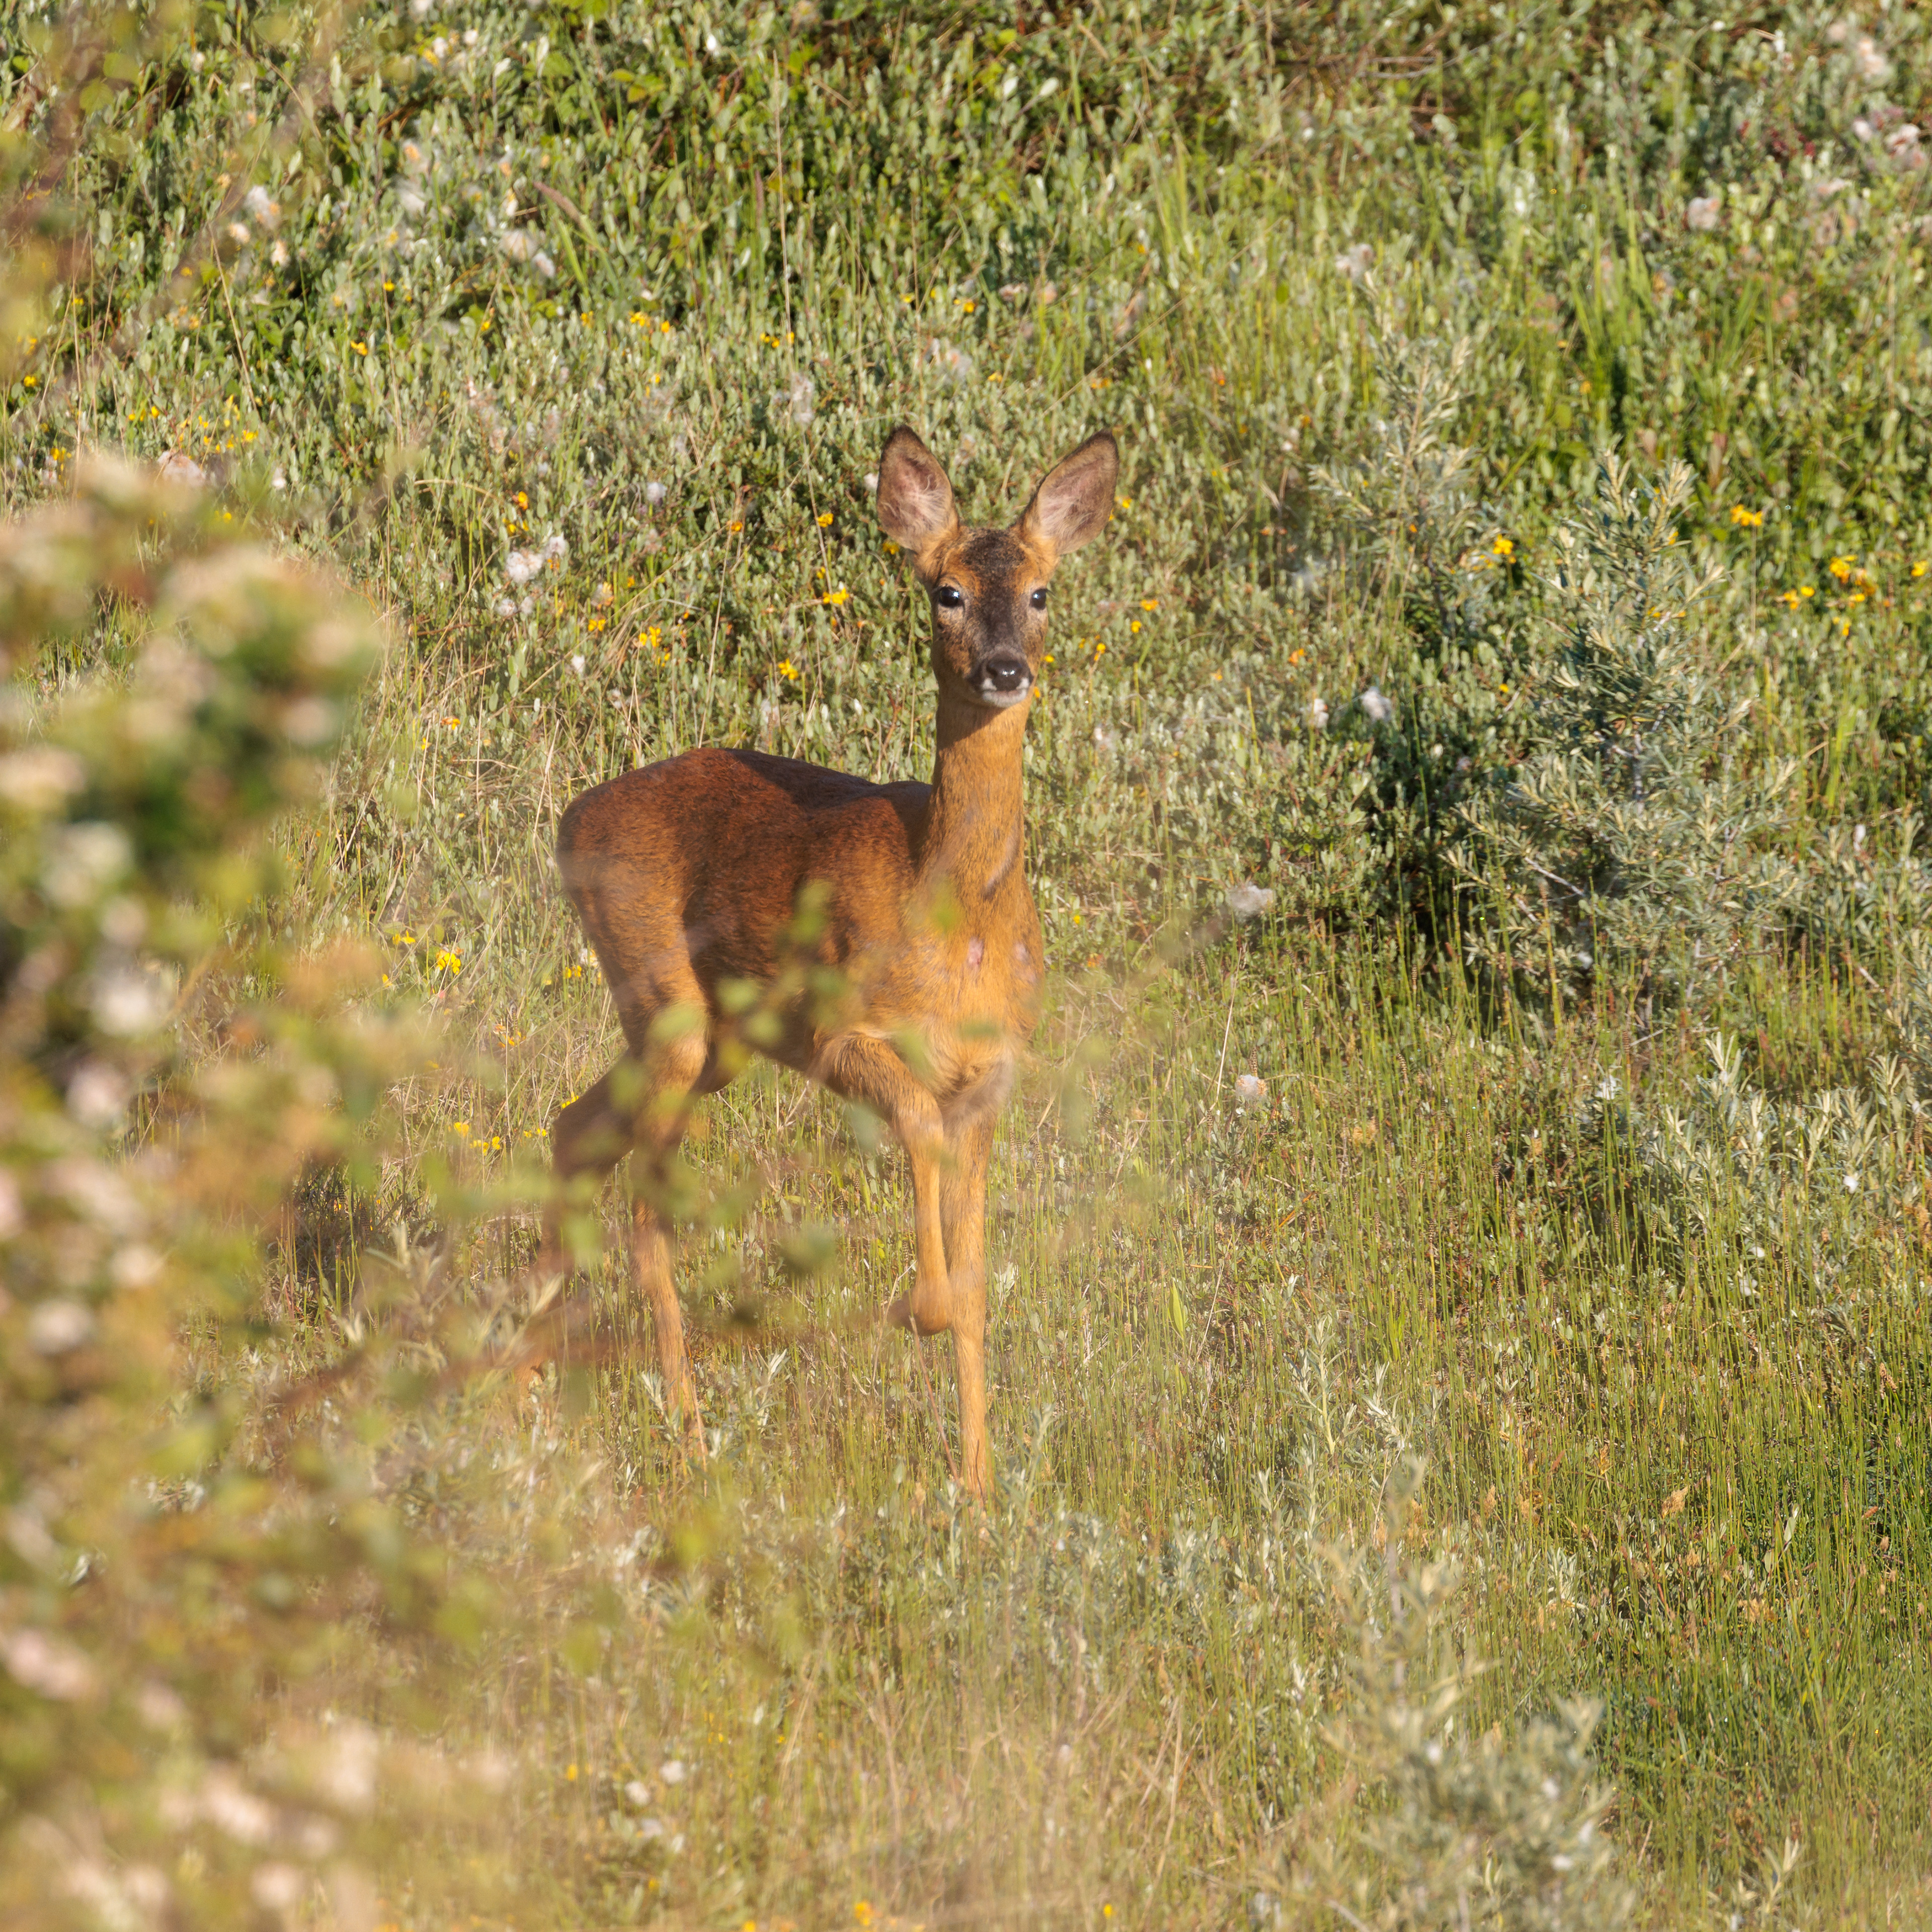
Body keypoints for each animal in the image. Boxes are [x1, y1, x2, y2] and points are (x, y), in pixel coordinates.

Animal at [535, 424, 1119, 1499]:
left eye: (1043, 591)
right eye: (946, 591)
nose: (1005, 671)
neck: (957, 908)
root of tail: (571, 816)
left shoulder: (997, 1073)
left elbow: (980, 1273)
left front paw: (980, 1492)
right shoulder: (840, 1027)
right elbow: (920, 1141)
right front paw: (915, 1311)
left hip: (713, 1038)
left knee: (574, 1129)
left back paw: (523, 1377)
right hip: (665, 1003)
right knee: (646, 1212)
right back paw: (687, 1436)